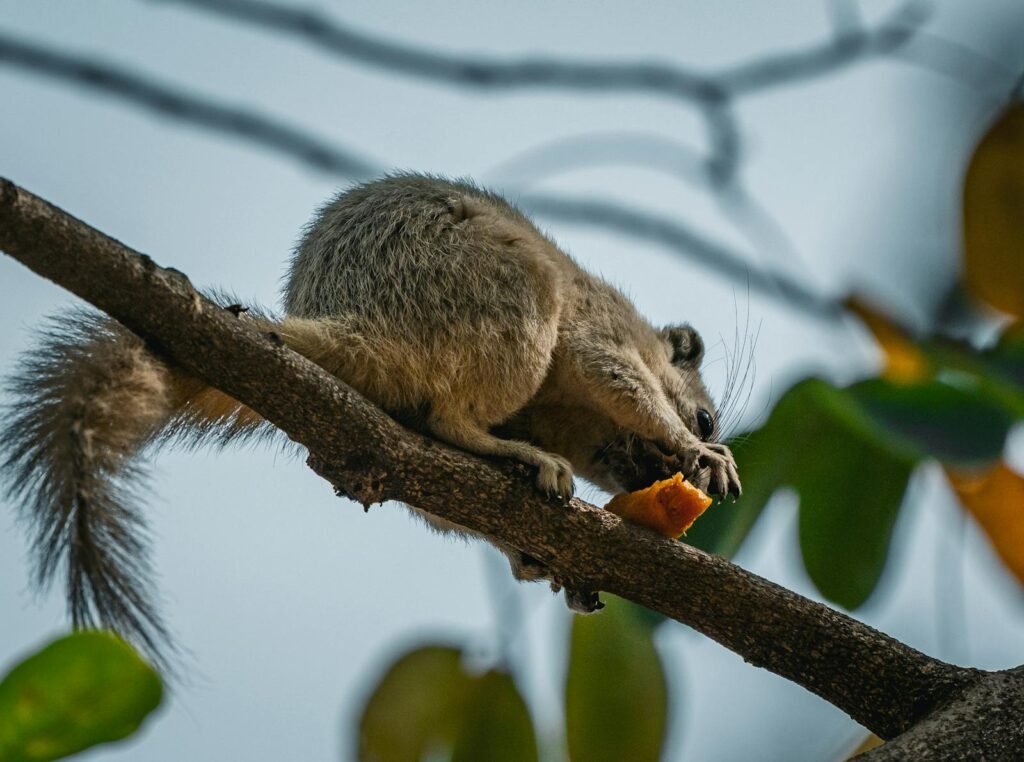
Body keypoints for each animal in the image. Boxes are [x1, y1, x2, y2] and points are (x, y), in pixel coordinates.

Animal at [0, 173, 740, 666]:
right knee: (451, 420)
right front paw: (697, 453)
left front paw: (547, 561)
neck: (570, 427)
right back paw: (515, 453)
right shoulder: (598, 332)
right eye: (706, 415)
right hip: (509, 292)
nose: (667, 464)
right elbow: (615, 375)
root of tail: (369, 328)